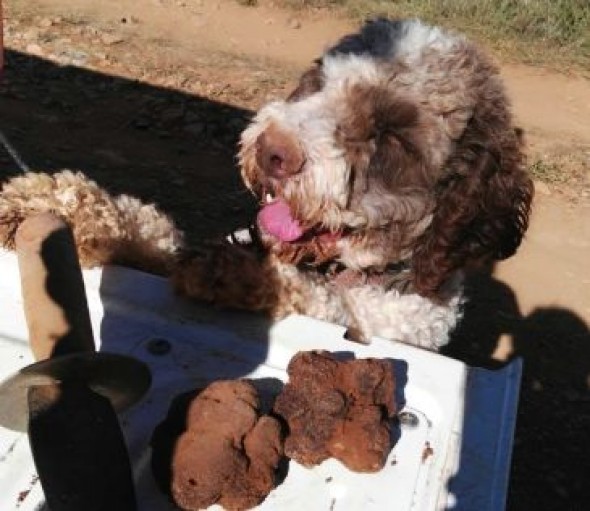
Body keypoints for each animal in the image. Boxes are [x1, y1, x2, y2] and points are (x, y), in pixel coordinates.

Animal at [0, 18, 536, 350]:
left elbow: (326, 305)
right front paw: (57, 203)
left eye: (393, 135)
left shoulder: (390, 322)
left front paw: (241, 272)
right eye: (320, 81)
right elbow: (149, 227)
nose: (272, 151)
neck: (335, 267)